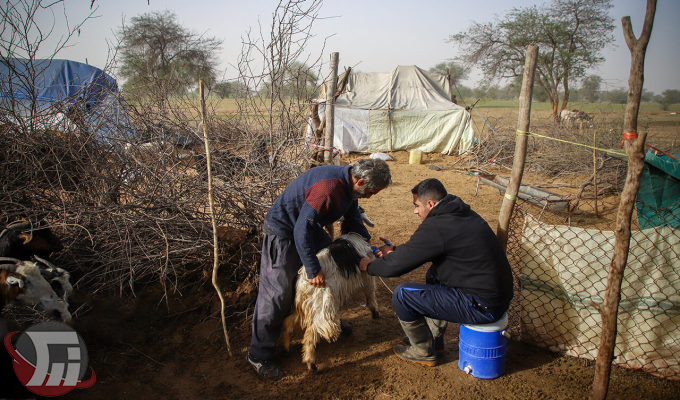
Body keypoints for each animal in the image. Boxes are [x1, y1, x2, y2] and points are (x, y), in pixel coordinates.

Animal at [278, 231, 380, 372]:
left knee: (287, 322)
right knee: (310, 334)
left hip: (304, 306)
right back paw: (311, 363)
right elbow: (371, 293)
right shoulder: (367, 274)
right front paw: (375, 312)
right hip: (322, 310)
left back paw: (285, 349)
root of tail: (303, 281)